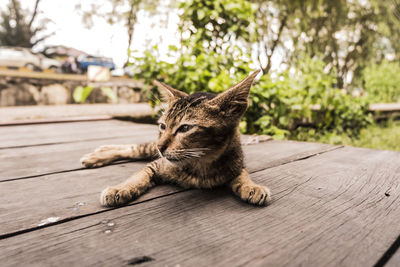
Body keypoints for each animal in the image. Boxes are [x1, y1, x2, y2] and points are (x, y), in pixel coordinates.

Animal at [81, 70, 272, 207]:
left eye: (185, 128)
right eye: (162, 126)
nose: (160, 147)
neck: (201, 165)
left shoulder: (237, 161)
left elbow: (242, 175)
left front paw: (251, 186)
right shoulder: (158, 163)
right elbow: (139, 175)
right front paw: (121, 188)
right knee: (135, 148)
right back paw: (97, 155)